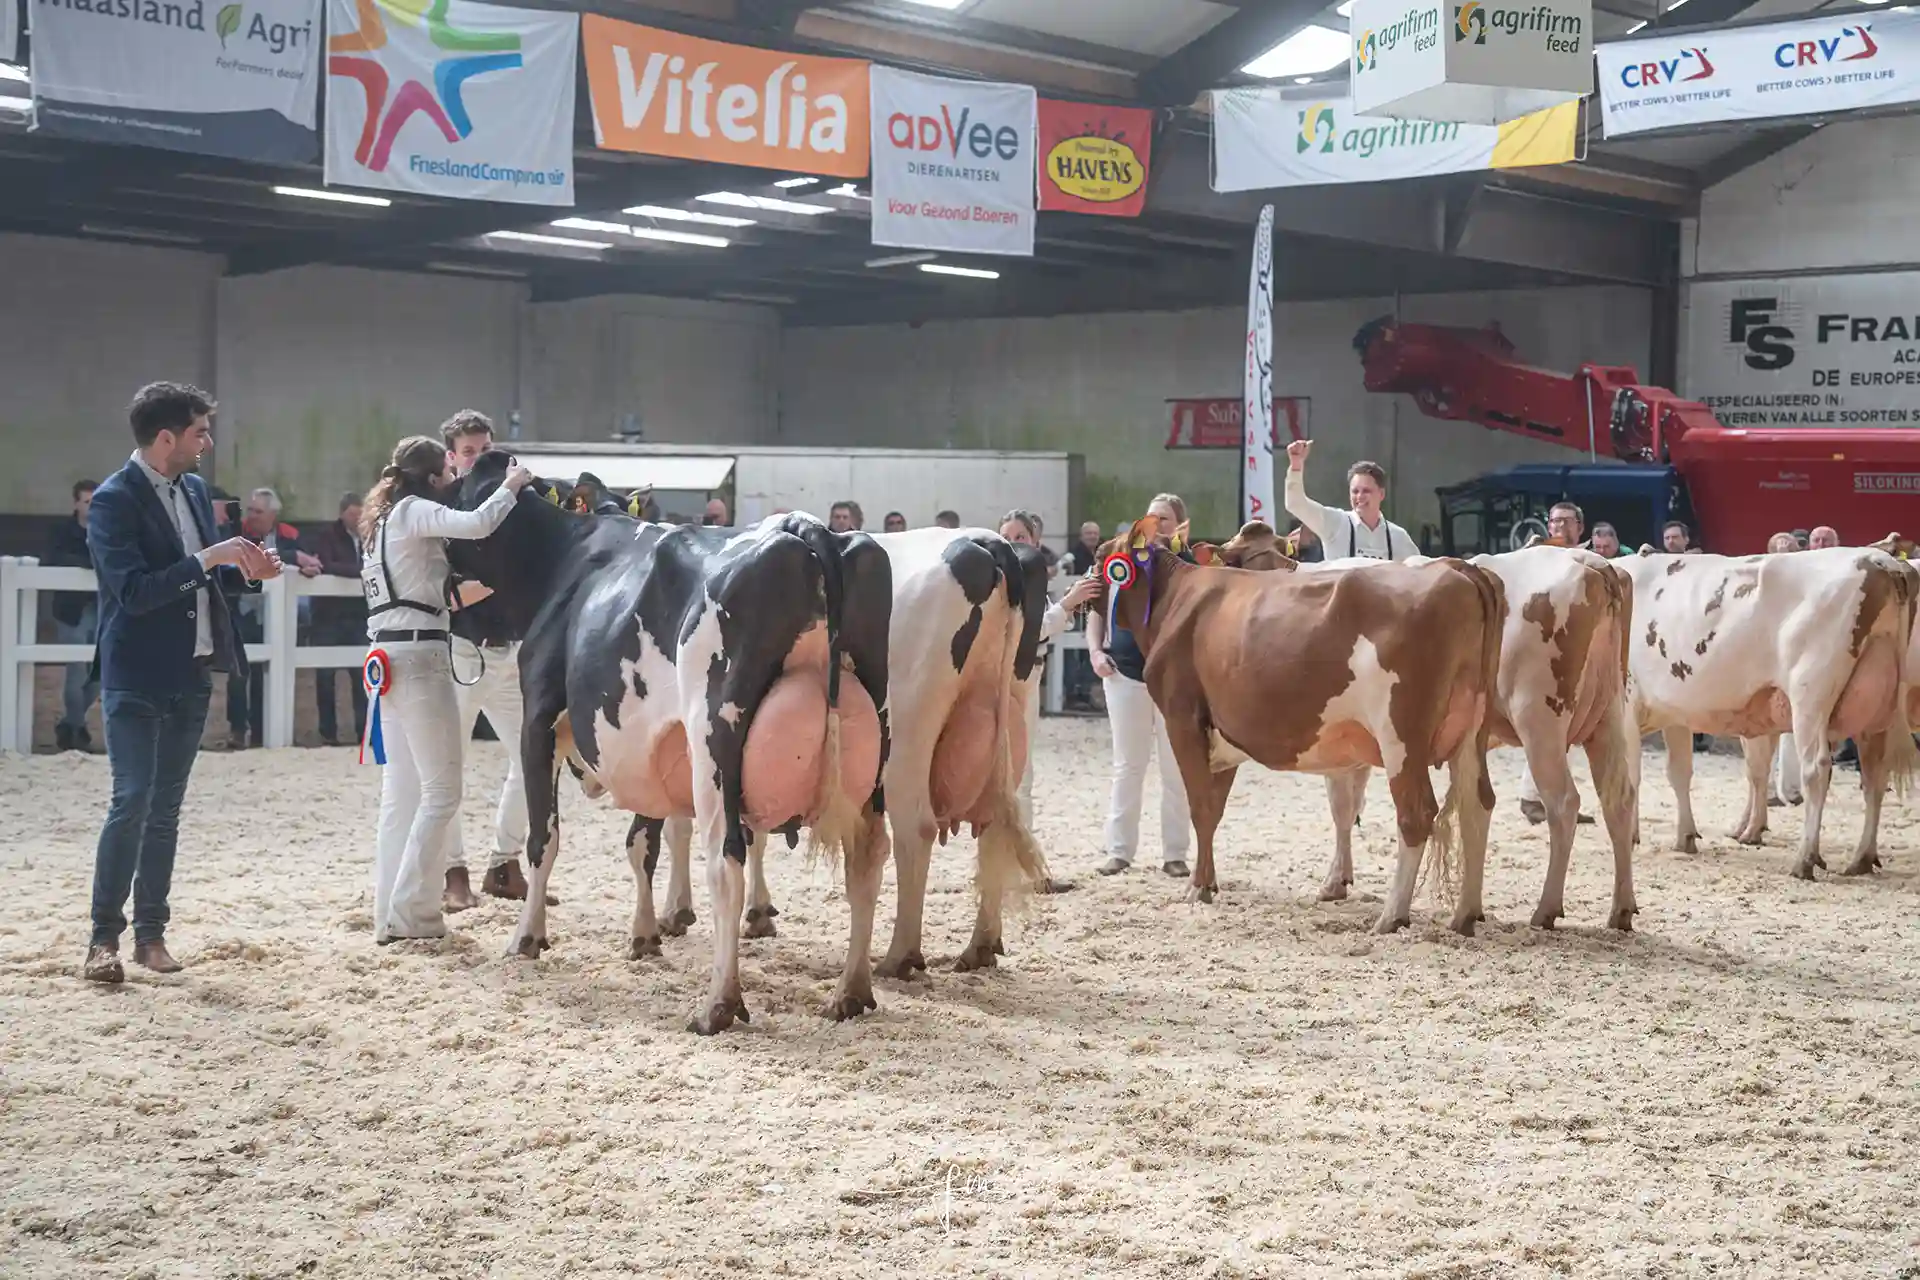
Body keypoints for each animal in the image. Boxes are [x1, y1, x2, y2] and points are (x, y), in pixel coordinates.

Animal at [449, 451, 893, 1033]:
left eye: (459, 492)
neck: (566, 557)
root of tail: (806, 528)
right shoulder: (650, 743)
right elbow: (642, 843)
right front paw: (644, 935)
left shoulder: (538, 719)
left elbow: (544, 839)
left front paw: (526, 936)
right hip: (878, 733)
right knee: (869, 856)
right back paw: (851, 991)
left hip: (714, 737)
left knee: (726, 861)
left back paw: (719, 1004)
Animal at [647, 530, 1052, 976]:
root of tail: (991, 543)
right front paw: (757, 913)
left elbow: (681, 825)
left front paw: (677, 912)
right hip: (1013, 722)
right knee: (997, 826)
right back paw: (981, 945)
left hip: (908, 735)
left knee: (917, 830)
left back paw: (899, 956)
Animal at [1099, 517, 1507, 935]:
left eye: (1100, 558)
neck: (1177, 599)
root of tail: (1456, 567)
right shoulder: (1224, 733)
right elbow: (1213, 811)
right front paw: (1208, 883)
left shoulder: (1183, 719)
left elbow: (1199, 806)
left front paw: (1197, 888)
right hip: (1472, 729)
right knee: (1478, 804)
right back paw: (1465, 913)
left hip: (1401, 735)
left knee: (1417, 812)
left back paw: (1391, 916)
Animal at [1207, 524, 1639, 930]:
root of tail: (1593, 564)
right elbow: (1349, 807)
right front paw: (1339, 879)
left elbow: (1341, 805)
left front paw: (1333, 882)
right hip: (1608, 717)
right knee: (1618, 800)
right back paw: (1620, 909)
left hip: (1539, 720)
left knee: (1563, 804)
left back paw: (1545, 909)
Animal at [1620, 546, 1918, 879]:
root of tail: (1880, 560)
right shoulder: (1675, 714)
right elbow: (1679, 772)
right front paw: (1685, 837)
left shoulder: (1626, 704)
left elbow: (1630, 776)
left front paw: (1631, 836)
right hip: (1875, 705)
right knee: (1875, 776)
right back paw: (1862, 859)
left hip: (1809, 695)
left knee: (1816, 771)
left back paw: (1804, 859)